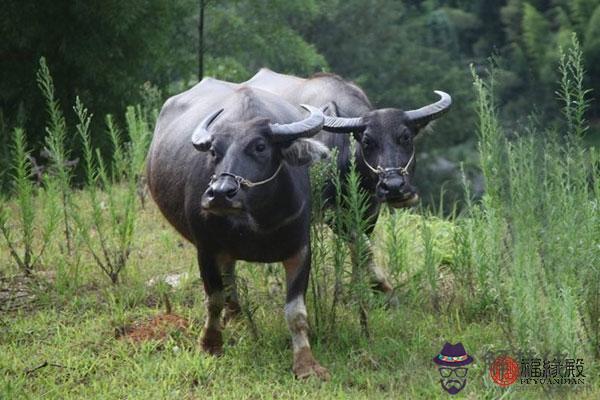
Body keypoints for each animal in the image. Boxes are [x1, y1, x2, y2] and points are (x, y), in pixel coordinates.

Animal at [147, 77, 330, 378]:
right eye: (213, 151)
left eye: (260, 146)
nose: (220, 193)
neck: (256, 221)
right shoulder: (206, 249)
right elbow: (213, 299)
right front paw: (210, 344)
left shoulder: (301, 250)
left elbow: (296, 312)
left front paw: (306, 363)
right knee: (228, 279)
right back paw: (233, 315)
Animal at [245, 69, 450, 300]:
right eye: (367, 141)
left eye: (405, 137)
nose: (394, 187)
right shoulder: (331, 211)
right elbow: (361, 245)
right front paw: (382, 285)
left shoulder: (369, 210)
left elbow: (359, 248)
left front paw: (356, 289)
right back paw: (274, 285)